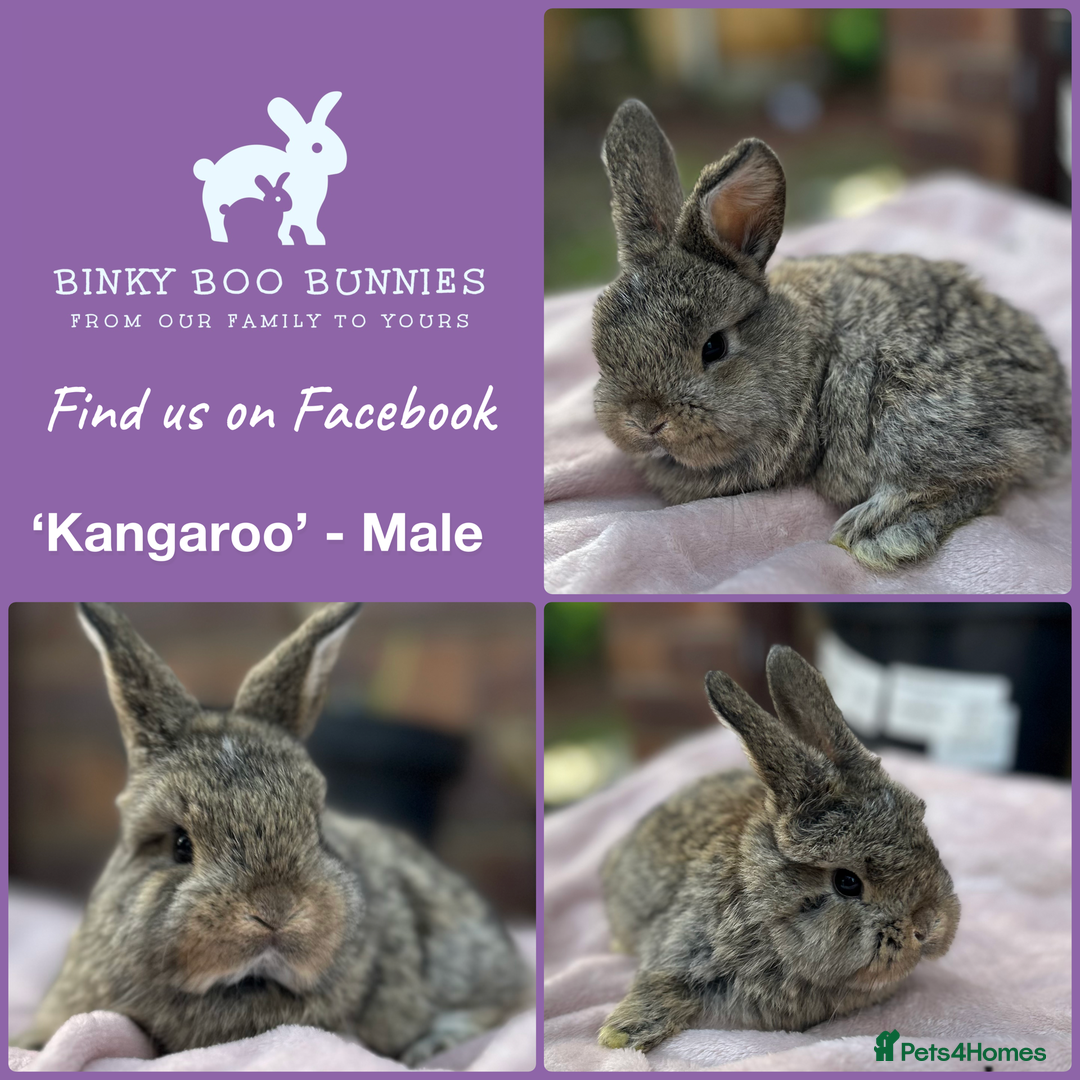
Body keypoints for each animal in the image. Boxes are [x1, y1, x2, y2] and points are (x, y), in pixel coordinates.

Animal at [194, 92, 347, 244]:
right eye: (317, 147)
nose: (342, 164)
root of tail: (211, 170)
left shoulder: (309, 215)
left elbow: (310, 228)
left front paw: (317, 240)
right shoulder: (287, 214)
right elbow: (284, 229)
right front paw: (287, 241)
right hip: (217, 206)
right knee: (216, 222)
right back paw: (221, 238)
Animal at [592, 100, 1070, 571]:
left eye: (714, 346)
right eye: (601, 348)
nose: (646, 419)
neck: (804, 348)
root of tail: (1052, 412)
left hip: (904, 417)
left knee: (979, 479)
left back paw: (878, 532)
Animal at [598, 645, 960, 1052]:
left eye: (922, 825)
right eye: (847, 882)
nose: (930, 925)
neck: (762, 904)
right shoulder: (681, 948)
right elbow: (663, 985)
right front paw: (620, 1035)